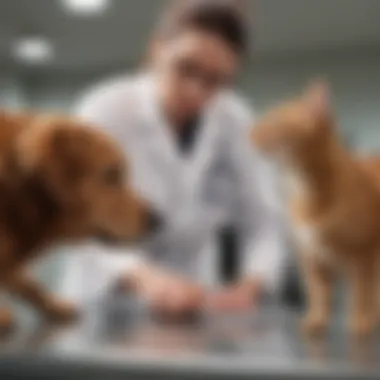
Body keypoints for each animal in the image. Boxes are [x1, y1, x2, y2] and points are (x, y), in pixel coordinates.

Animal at [252, 81, 380, 336]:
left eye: (276, 121)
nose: (250, 132)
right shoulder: (312, 257)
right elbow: (319, 293)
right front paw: (317, 320)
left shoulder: (364, 254)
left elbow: (362, 294)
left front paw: (361, 322)